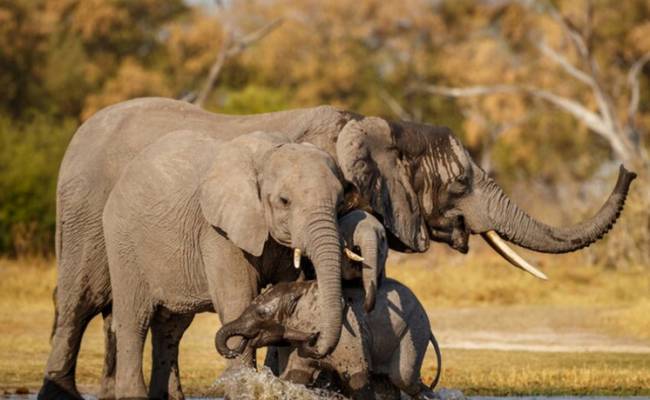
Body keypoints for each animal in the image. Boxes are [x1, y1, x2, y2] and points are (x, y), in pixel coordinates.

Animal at [100, 130, 356, 398]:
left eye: (340, 203)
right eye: (284, 201)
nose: (314, 340)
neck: (267, 154)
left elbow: (289, 294)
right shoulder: (219, 233)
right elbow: (237, 301)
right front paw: (246, 389)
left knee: (171, 328)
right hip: (123, 242)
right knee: (134, 320)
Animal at [215, 278, 438, 400]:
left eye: (261, 314)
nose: (240, 343)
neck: (301, 289)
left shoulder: (349, 335)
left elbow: (357, 376)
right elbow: (296, 377)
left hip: (415, 329)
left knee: (402, 378)